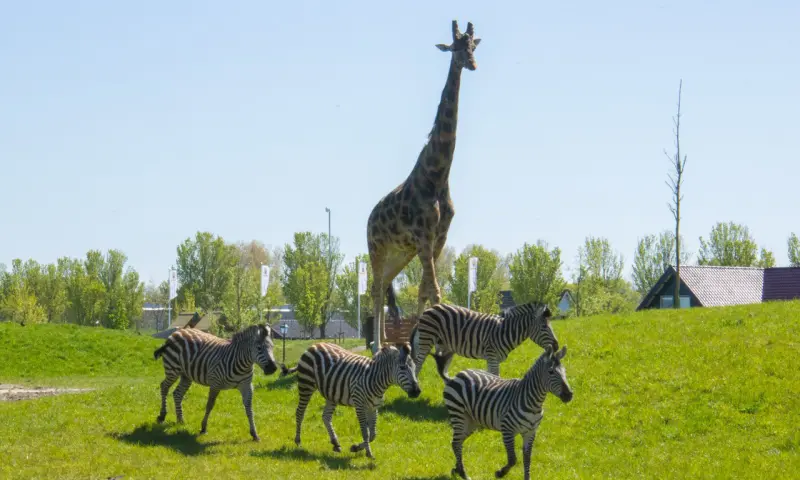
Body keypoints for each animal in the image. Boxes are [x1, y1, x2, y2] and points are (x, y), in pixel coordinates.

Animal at [281, 342, 421, 459]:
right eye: (402, 368)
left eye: (414, 367)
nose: (417, 391)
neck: (375, 379)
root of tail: (315, 344)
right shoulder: (359, 405)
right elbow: (365, 432)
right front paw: (368, 453)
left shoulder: (373, 407)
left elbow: (373, 434)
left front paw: (356, 448)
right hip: (306, 384)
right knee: (300, 412)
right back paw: (298, 441)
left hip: (332, 394)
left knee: (326, 417)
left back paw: (336, 443)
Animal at [409, 301, 558, 378]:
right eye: (544, 327)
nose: (556, 345)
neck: (505, 331)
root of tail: (430, 308)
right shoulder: (492, 357)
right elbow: (495, 376)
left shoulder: (492, 359)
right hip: (427, 339)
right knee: (418, 363)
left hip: (444, 345)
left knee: (442, 367)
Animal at [433, 344, 573, 480]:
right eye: (551, 372)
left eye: (565, 371)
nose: (569, 395)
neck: (534, 403)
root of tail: (457, 375)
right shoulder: (507, 430)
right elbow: (513, 459)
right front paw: (500, 473)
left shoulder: (530, 432)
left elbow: (527, 459)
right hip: (459, 415)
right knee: (456, 443)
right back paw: (463, 474)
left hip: (471, 422)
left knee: (456, 442)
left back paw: (457, 469)